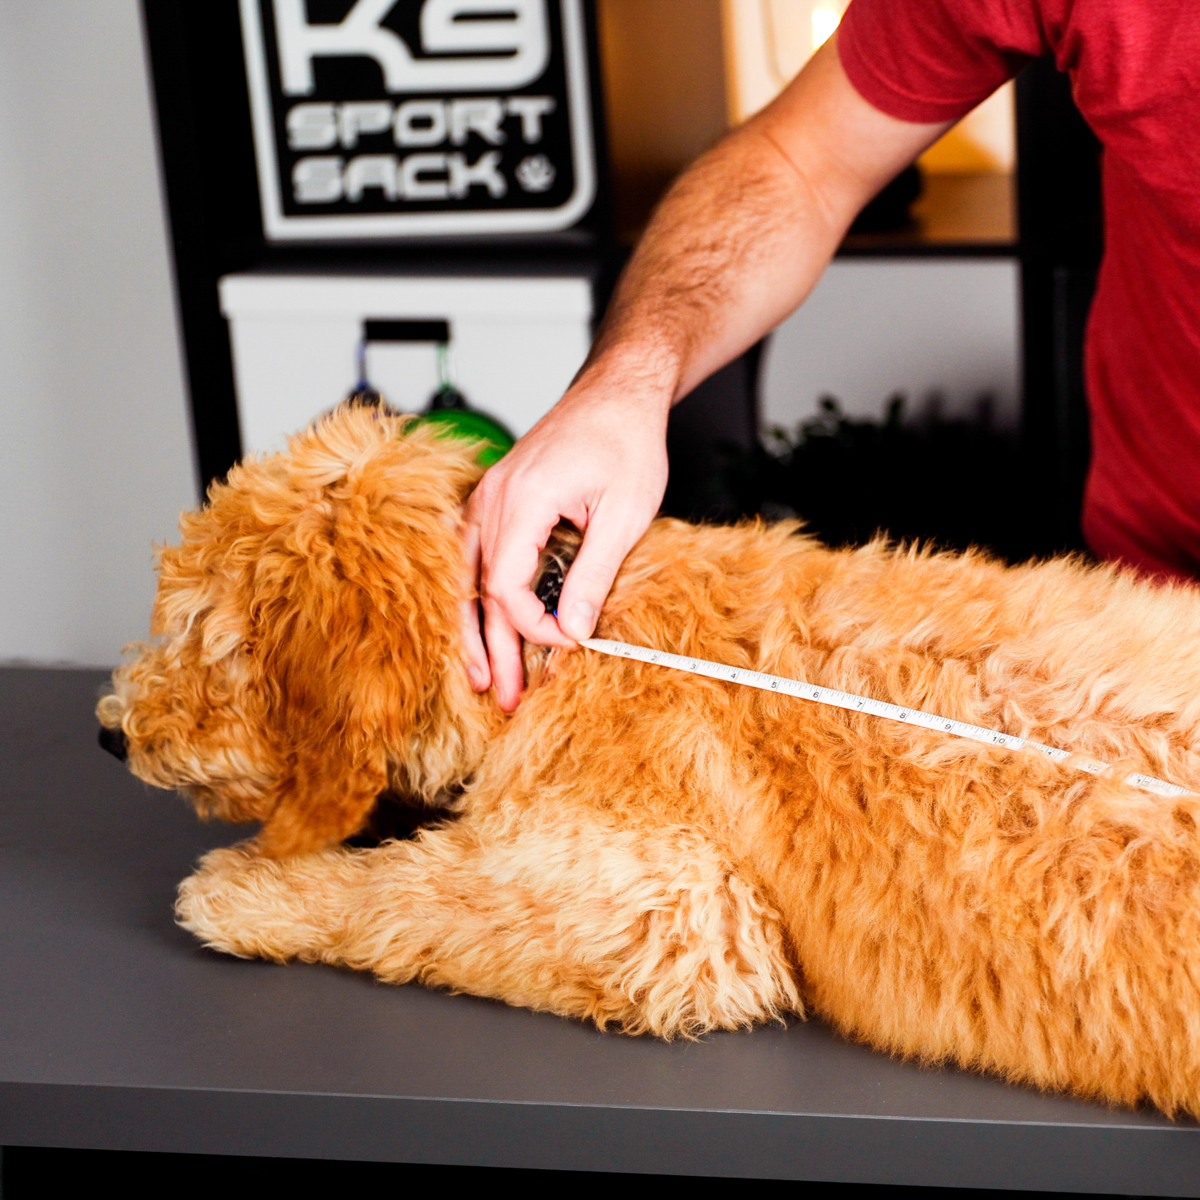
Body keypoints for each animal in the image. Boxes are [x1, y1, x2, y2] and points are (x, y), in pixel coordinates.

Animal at [98, 403, 1200, 1113]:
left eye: (196, 630)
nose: (108, 733)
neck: (561, 633)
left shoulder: (675, 911)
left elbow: (406, 896)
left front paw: (247, 892)